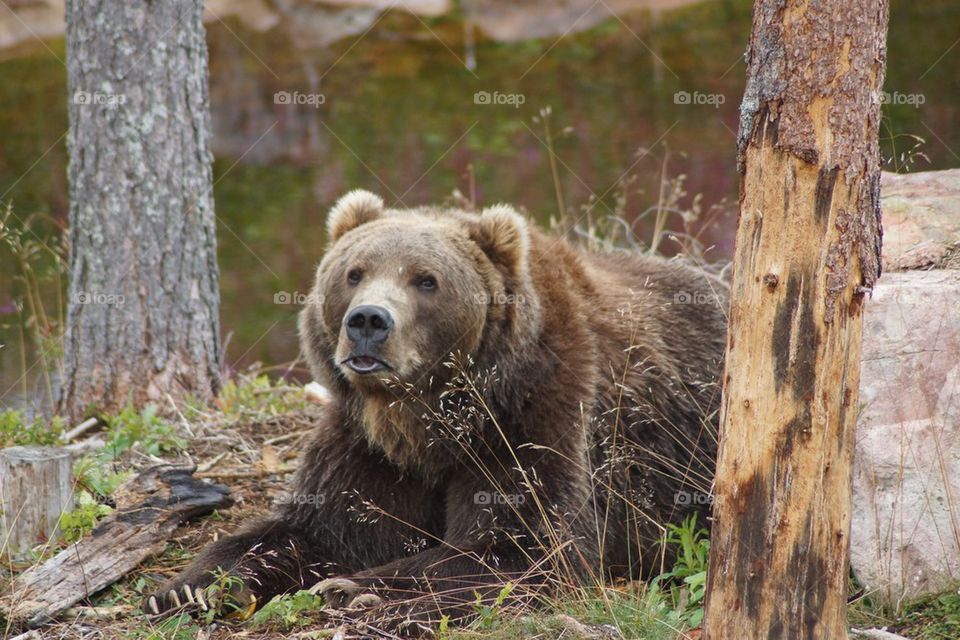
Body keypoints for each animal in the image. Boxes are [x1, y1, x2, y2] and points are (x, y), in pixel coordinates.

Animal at [146, 190, 727, 632]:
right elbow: (319, 528)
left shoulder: (533, 416)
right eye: (354, 272)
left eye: (426, 279)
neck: (425, 417)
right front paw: (188, 588)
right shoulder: (368, 445)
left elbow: (519, 546)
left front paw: (358, 590)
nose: (368, 321)